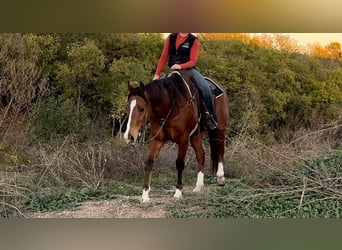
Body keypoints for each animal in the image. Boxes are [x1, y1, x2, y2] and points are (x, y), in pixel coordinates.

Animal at [124, 69, 228, 202]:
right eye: (128, 107)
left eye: (141, 108)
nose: (129, 137)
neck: (170, 106)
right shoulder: (157, 139)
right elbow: (149, 162)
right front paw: (145, 194)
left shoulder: (183, 139)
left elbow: (179, 163)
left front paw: (178, 191)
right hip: (195, 135)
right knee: (201, 154)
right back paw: (198, 186)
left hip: (219, 128)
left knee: (220, 149)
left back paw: (221, 178)